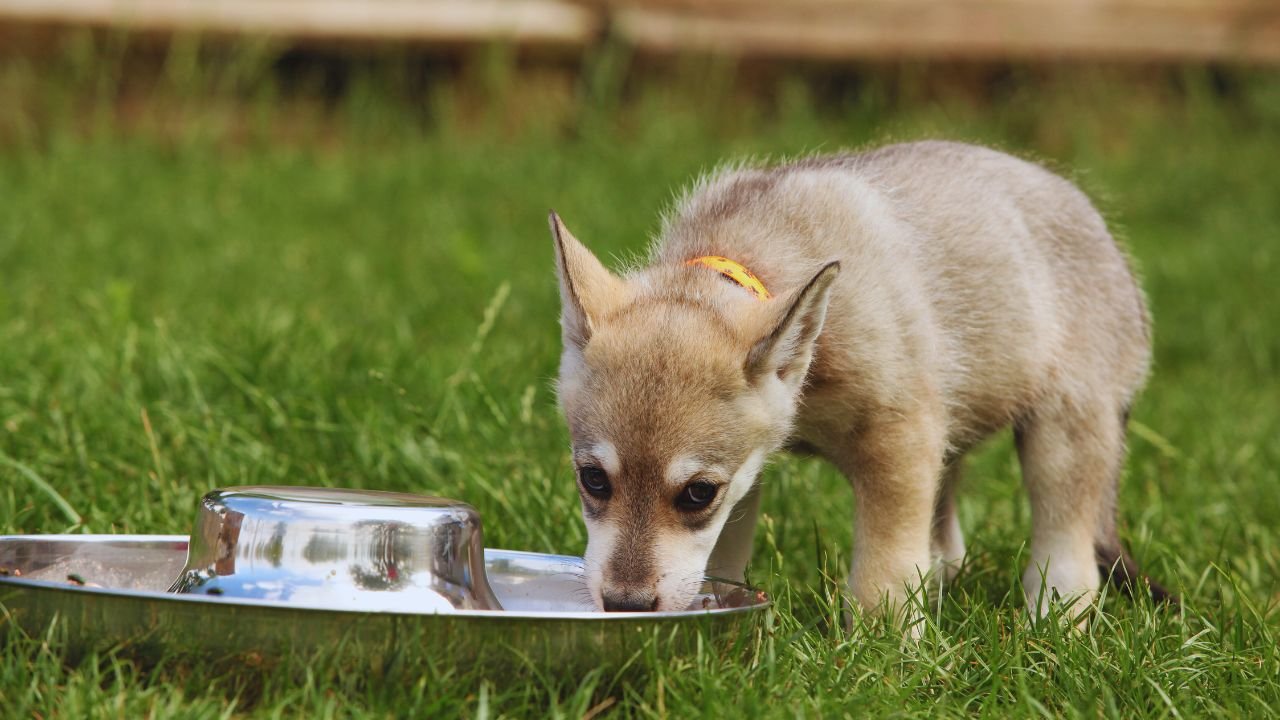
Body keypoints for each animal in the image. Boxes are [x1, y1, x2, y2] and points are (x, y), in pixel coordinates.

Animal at [550, 140, 1172, 622]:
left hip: (1062, 435)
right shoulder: (756, 472)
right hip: (953, 429)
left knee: (1068, 559)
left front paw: (886, 660)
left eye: (698, 493)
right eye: (593, 480)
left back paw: (1053, 627)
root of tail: (1113, 248)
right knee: (949, 544)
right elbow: (720, 561)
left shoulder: (897, 442)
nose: (625, 605)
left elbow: (882, 578)